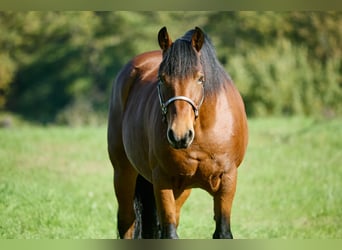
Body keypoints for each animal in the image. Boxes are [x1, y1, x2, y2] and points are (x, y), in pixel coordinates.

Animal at [107, 26, 248, 239]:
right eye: (161, 78)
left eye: (200, 78)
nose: (179, 135)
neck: (204, 131)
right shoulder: (162, 179)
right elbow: (170, 232)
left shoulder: (228, 179)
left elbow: (222, 232)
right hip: (123, 173)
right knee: (127, 222)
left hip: (181, 190)